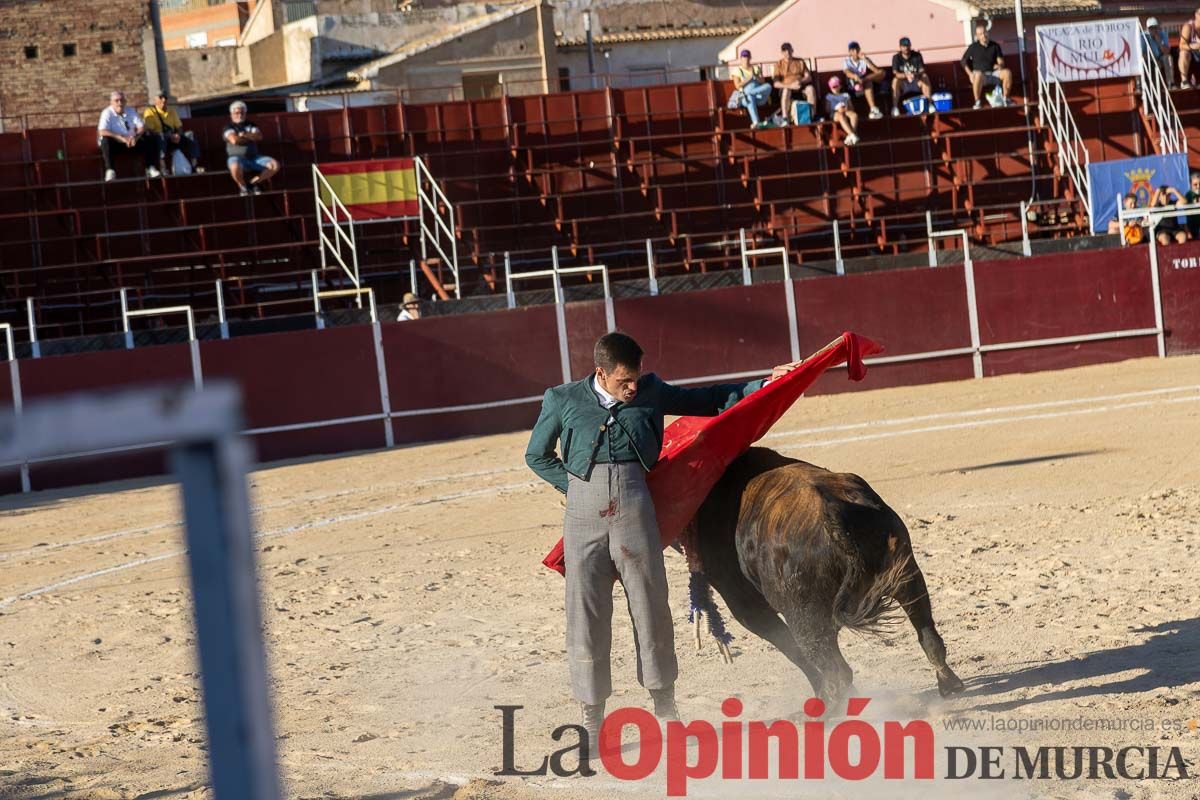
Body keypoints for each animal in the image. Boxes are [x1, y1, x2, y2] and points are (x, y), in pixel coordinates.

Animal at [691, 448, 960, 705]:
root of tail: (835, 511)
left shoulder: (746, 606)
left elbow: (792, 650)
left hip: (804, 617)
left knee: (835, 669)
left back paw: (829, 711)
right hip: (907, 575)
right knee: (929, 636)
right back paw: (949, 684)